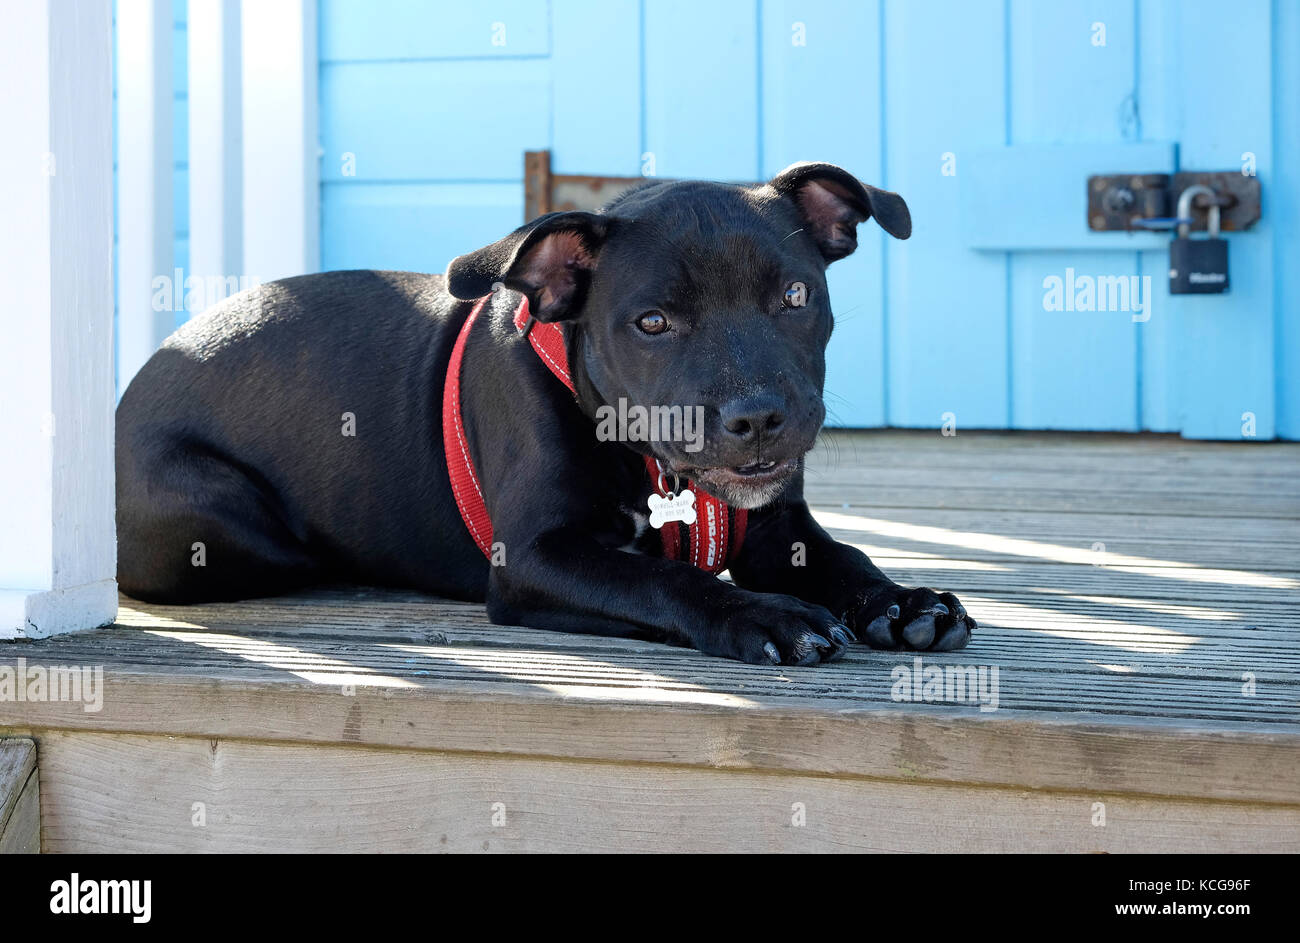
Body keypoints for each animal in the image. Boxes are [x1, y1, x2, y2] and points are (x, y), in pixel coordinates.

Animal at [116, 159, 977, 663]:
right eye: (652, 322)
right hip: (216, 517)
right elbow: (664, 579)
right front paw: (763, 615)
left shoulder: (777, 527)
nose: (759, 416)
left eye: (797, 296)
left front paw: (905, 601)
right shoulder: (536, 556)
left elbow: (844, 556)